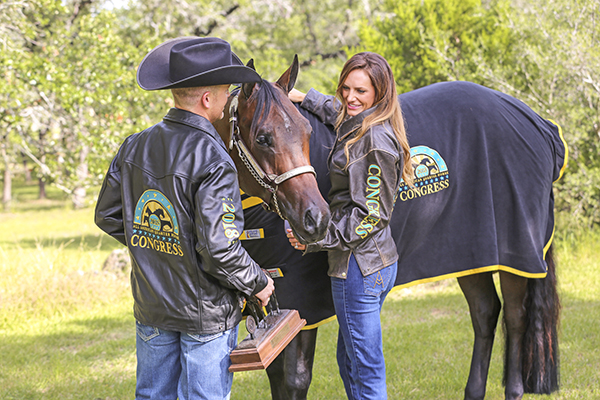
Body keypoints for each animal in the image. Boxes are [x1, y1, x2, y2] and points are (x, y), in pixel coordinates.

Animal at [212, 59, 568, 400]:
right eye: (262, 137)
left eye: (306, 132)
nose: (316, 218)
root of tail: (537, 123)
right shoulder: (270, 305)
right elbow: (275, 374)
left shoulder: (304, 306)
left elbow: (296, 379)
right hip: (472, 253)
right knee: (485, 312)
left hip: (516, 255)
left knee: (516, 317)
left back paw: (514, 390)